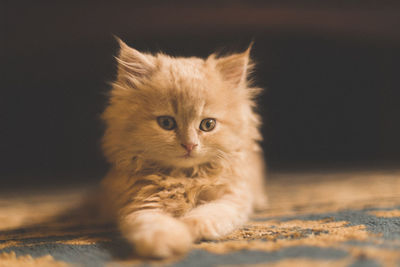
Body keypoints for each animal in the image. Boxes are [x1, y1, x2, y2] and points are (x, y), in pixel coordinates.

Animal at [98, 38, 268, 258]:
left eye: (208, 124)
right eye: (166, 123)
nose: (189, 144)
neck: (185, 177)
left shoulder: (232, 197)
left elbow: (208, 214)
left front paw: (189, 228)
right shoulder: (139, 202)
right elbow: (153, 224)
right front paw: (170, 241)